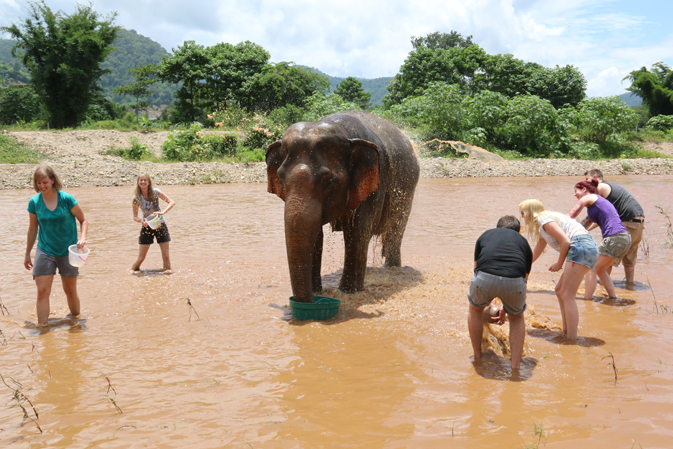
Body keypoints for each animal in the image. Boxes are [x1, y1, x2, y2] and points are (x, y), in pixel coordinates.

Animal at [266, 110, 418, 302]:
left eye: (328, 181)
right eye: (281, 178)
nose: (309, 301)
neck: (342, 131)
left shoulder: (374, 182)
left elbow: (357, 232)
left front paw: (348, 293)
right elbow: (315, 235)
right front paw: (317, 292)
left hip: (407, 190)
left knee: (394, 233)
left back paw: (393, 270)